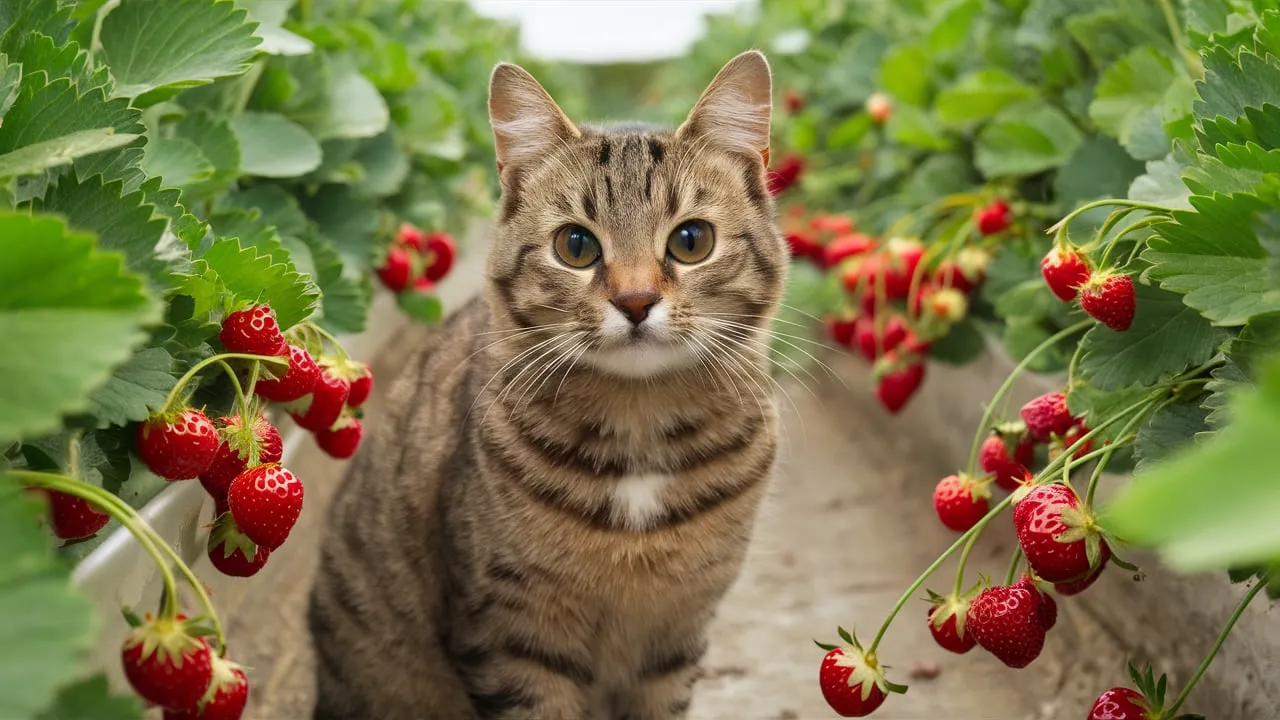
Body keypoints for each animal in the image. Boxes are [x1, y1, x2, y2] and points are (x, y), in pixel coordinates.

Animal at [311, 50, 788, 717]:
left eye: (691, 241)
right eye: (576, 245)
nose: (635, 302)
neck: (639, 424)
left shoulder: (676, 635)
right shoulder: (511, 637)